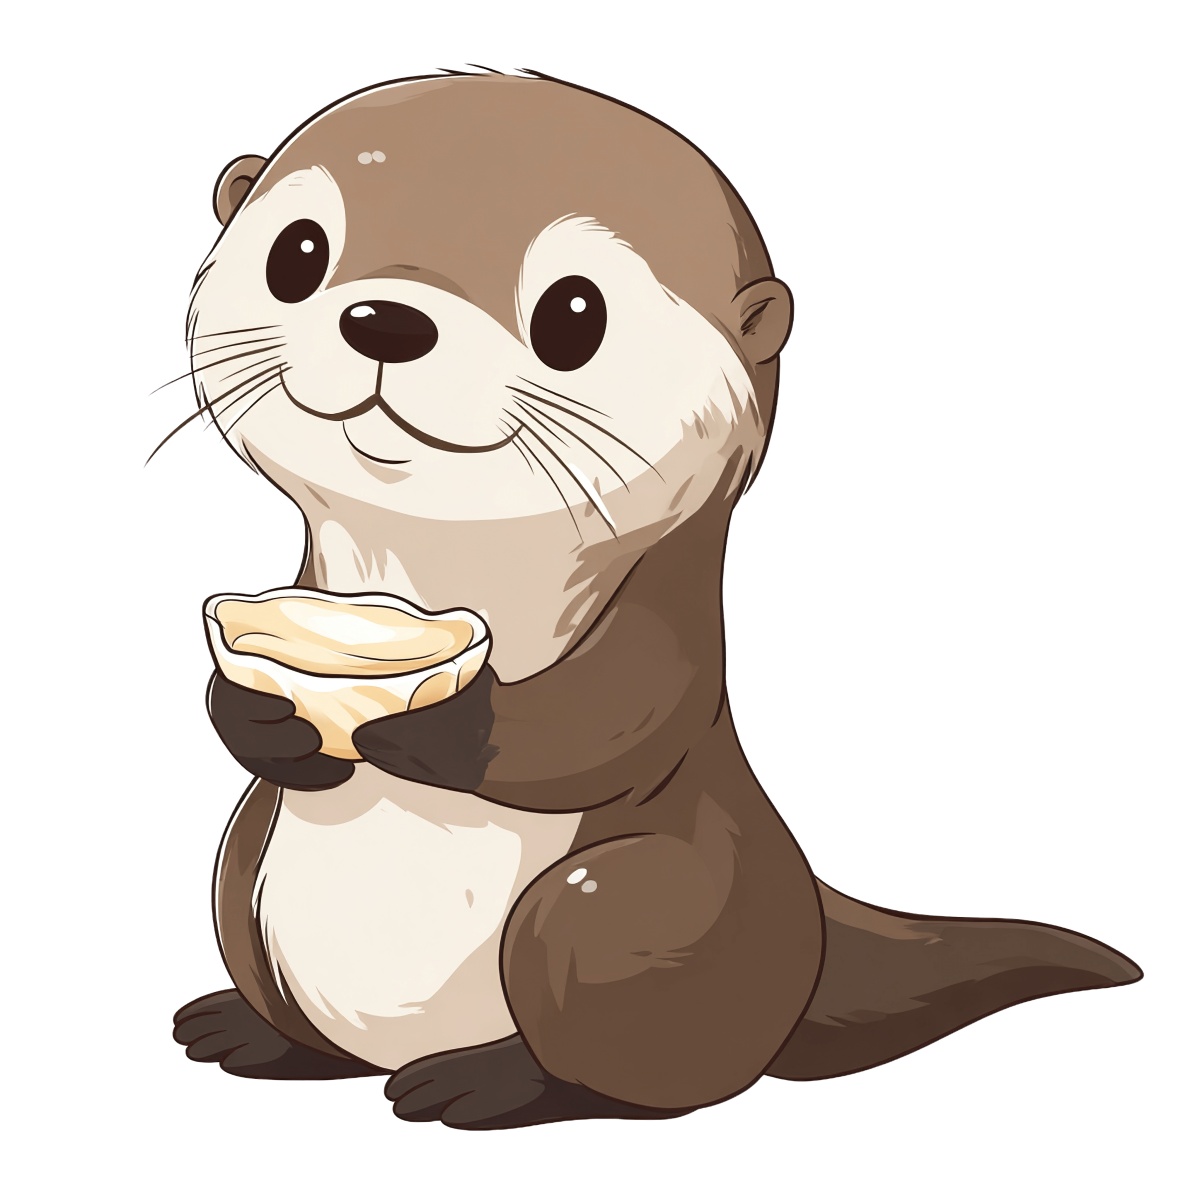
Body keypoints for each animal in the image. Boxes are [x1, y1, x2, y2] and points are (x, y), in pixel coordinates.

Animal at [170, 70, 1140, 1129]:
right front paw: (265, 716)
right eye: (298, 254)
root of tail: (810, 921)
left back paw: (487, 1079)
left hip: (629, 913)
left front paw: (433, 723)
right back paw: (251, 1033)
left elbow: (608, 718)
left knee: (632, 1046)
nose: (387, 319)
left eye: (574, 313)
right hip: (241, 870)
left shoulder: (667, 629)